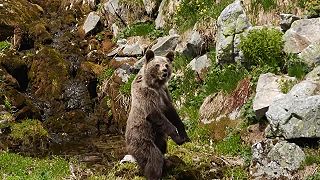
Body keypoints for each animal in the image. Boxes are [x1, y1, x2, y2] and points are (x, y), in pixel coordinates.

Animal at [125, 49, 190, 180]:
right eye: (157, 65)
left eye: (167, 64)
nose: (164, 71)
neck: (155, 85)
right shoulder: (146, 94)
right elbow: (154, 113)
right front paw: (177, 136)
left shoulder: (164, 93)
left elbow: (172, 112)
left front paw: (184, 135)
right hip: (141, 137)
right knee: (153, 157)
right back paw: (156, 172)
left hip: (158, 137)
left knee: (162, 146)